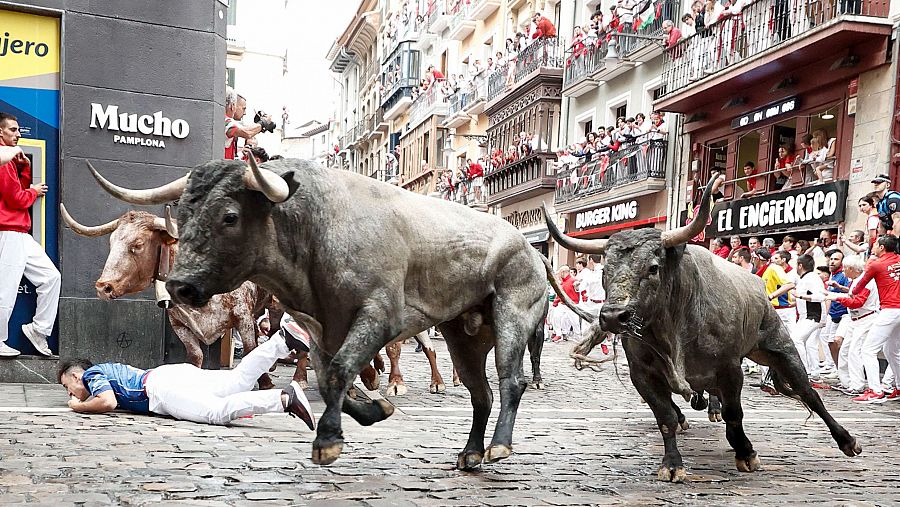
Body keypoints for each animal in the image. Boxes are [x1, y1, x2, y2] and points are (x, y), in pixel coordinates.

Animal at [88, 157, 588, 470]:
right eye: (184, 214)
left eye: (229, 216)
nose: (180, 286)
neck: (314, 228)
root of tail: (529, 246)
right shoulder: (321, 329)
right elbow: (329, 378)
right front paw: (375, 409)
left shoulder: (378, 317)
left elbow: (340, 371)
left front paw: (328, 441)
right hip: (463, 336)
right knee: (479, 393)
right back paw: (470, 454)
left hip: (512, 317)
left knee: (510, 379)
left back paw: (499, 446)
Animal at [544, 179, 860, 484]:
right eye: (605, 271)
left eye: (653, 268)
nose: (612, 316)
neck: (673, 329)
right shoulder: (642, 375)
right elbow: (665, 417)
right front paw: (673, 464)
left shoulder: (730, 368)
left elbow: (735, 414)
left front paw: (745, 452)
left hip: (779, 346)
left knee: (808, 393)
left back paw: (847, 440)